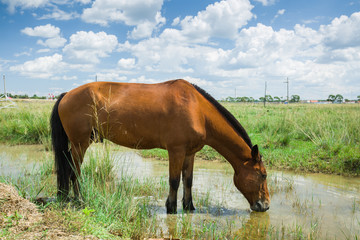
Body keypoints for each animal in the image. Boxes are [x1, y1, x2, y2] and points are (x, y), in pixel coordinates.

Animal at [50, 79, 270, 214]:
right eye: (263, 175)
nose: (265, 205)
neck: (197, 109)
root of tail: (66, 94)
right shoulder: (176, 151)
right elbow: (174, 181)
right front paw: (171, 208)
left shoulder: (190, 154)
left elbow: (188, 181)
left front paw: (189, 206)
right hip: (79, 144)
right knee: (74, 171)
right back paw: (79, 199)